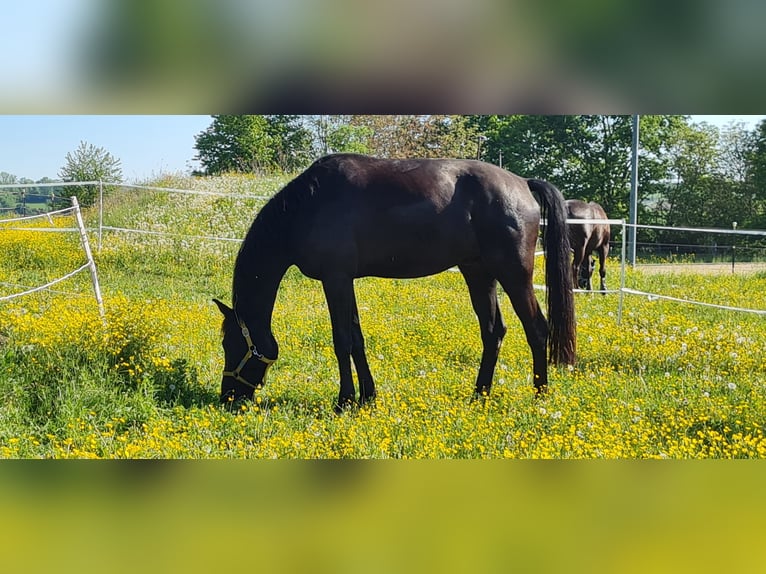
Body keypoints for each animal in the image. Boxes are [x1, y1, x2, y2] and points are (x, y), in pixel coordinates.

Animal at [214, 153, 576, 412]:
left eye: (230, 345)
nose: (228, 398)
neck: (308, 205)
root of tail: (522, 184)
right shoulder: (345, 281)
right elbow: (357, 339)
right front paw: (367, 397)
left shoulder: (335, 279)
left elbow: (342, 340)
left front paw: (344, 401)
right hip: (478, 273)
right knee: (493, 332)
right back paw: (479, 395)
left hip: (514, 274)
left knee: (536, 328)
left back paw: (540, 396)